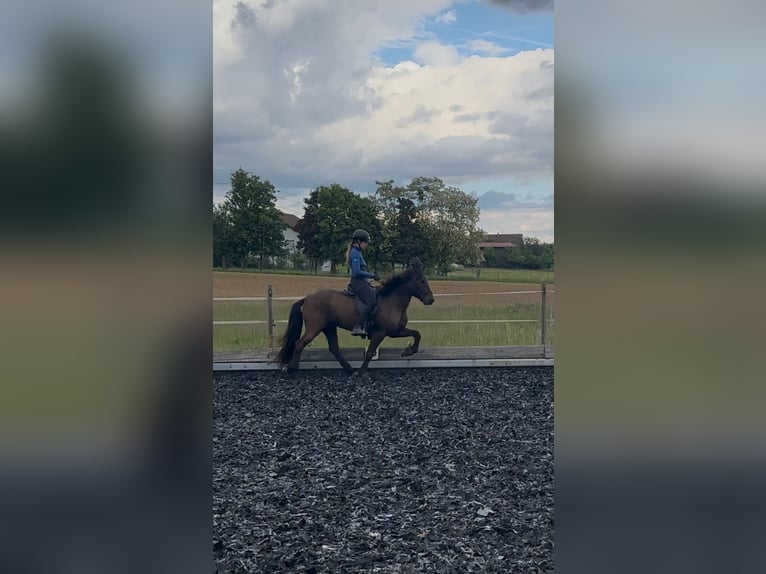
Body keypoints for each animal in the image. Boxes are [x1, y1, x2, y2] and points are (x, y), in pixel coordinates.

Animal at [275, 257, 435, 375]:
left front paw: (408, 351)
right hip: (314, 328)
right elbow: (370, 352)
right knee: (299, 343)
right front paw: (362, 372)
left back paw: (350, 369)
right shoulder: (380, 332)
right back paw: (291, 368)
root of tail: (308, 298)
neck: (393, 300)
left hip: (329, 327)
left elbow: (417, 334)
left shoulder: (395, 331)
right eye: (422, 281)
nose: (431, 300)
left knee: (334, 348)